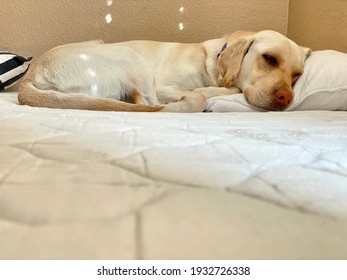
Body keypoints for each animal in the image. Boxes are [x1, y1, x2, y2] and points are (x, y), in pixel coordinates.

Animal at [17, 30, 312, 112]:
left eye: (297, 74)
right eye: (269, 58)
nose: (287, 98)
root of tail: (29, 77)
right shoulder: (164, 86)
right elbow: (198, 95)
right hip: (130, 57)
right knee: (148, 103)